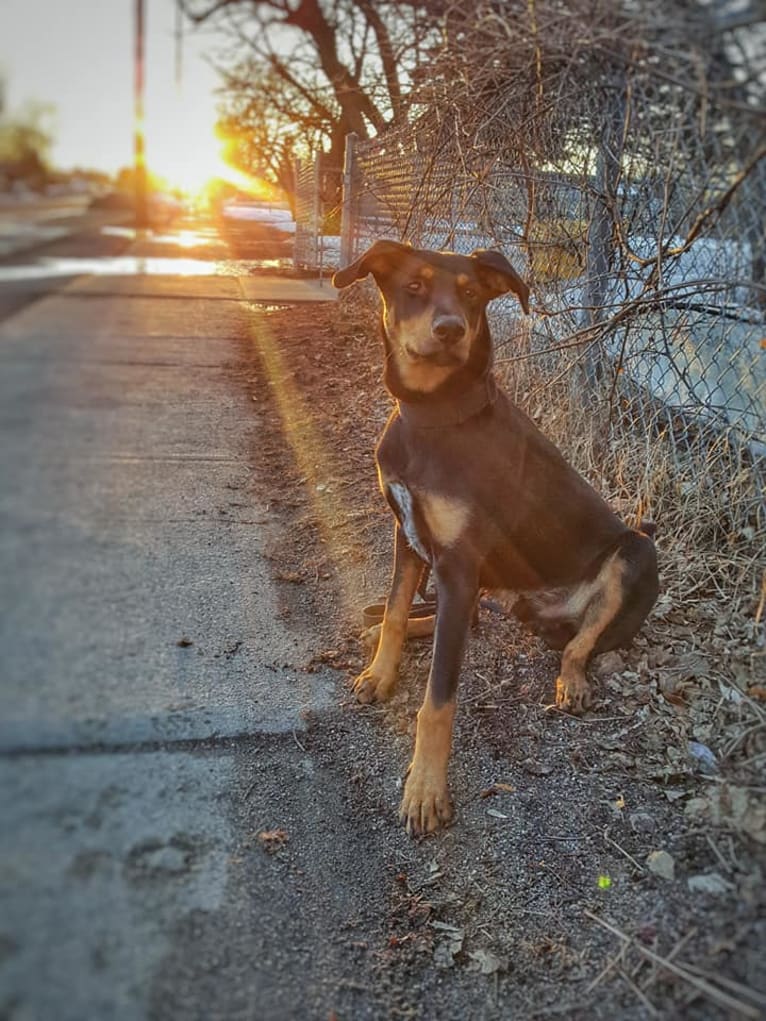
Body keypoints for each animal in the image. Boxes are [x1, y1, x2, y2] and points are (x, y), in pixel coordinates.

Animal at [332, 240, 661, 837]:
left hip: (635, 551)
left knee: (578, 643)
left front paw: (424, 790)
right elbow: (393, 612)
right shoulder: (407, 534)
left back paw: (572, 679)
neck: (434, 417)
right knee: (465, 621)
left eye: (470, 294)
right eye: (414, 286)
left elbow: (438, 699)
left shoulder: (458, 566)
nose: (450, 330)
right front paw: (381, 672)